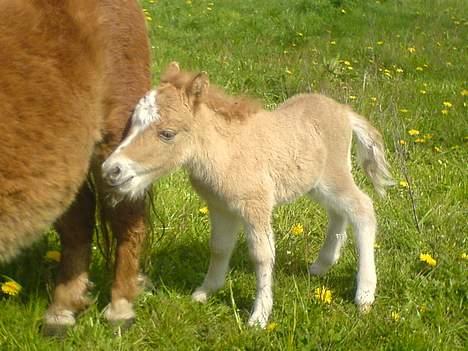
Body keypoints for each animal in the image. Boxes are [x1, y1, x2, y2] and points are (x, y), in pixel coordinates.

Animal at [103, 62, 394, 328]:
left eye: (167, 134)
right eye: (131, 123)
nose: (111, 170)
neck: (226, 152)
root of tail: (344, 111)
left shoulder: (256, 206)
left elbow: (262, 255)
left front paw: (259, 316)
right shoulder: (220, 207)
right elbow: (219, 247)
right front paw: (205, 292)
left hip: (333, 176)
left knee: (362, 208)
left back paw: (364, 295)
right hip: (316, 184)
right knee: (339, 212)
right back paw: (321, 266)